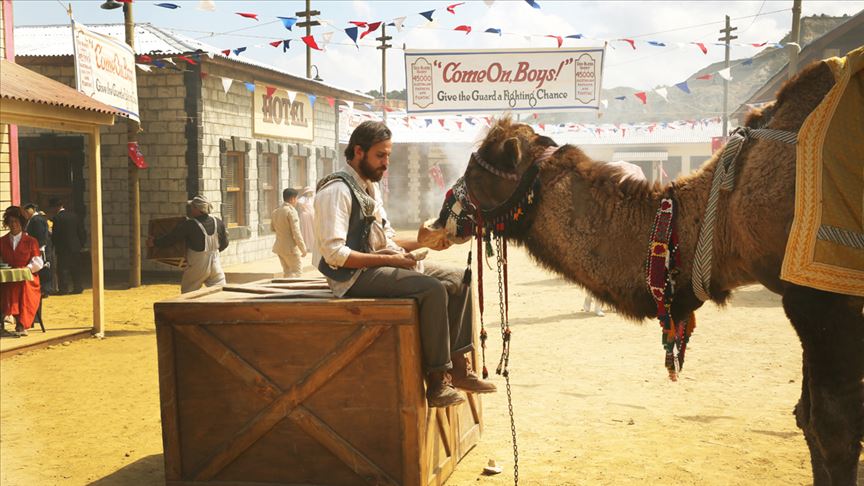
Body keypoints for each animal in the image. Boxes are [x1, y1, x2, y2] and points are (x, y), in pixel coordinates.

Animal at [428, 61, 860, 486]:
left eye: (477, 170)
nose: (441, 214)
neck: (724, 212)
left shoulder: (821, 296)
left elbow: (831, 430)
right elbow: (807, 417)